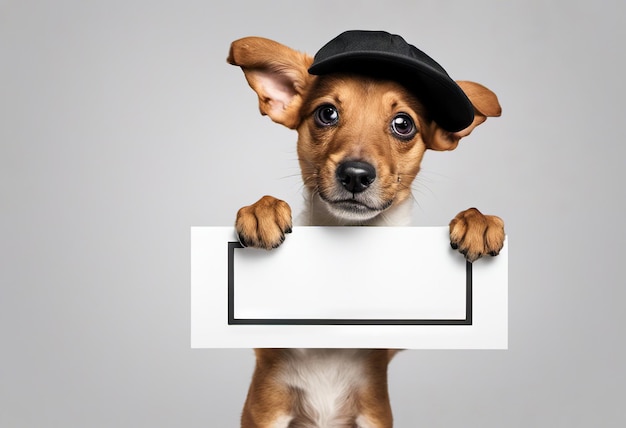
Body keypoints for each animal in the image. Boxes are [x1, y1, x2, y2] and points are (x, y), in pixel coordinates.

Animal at [227, 30, 504, 428]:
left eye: (403, 124)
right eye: (327, 113)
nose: (355, 175)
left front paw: (477, 221)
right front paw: (262, 211)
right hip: (269, 407)